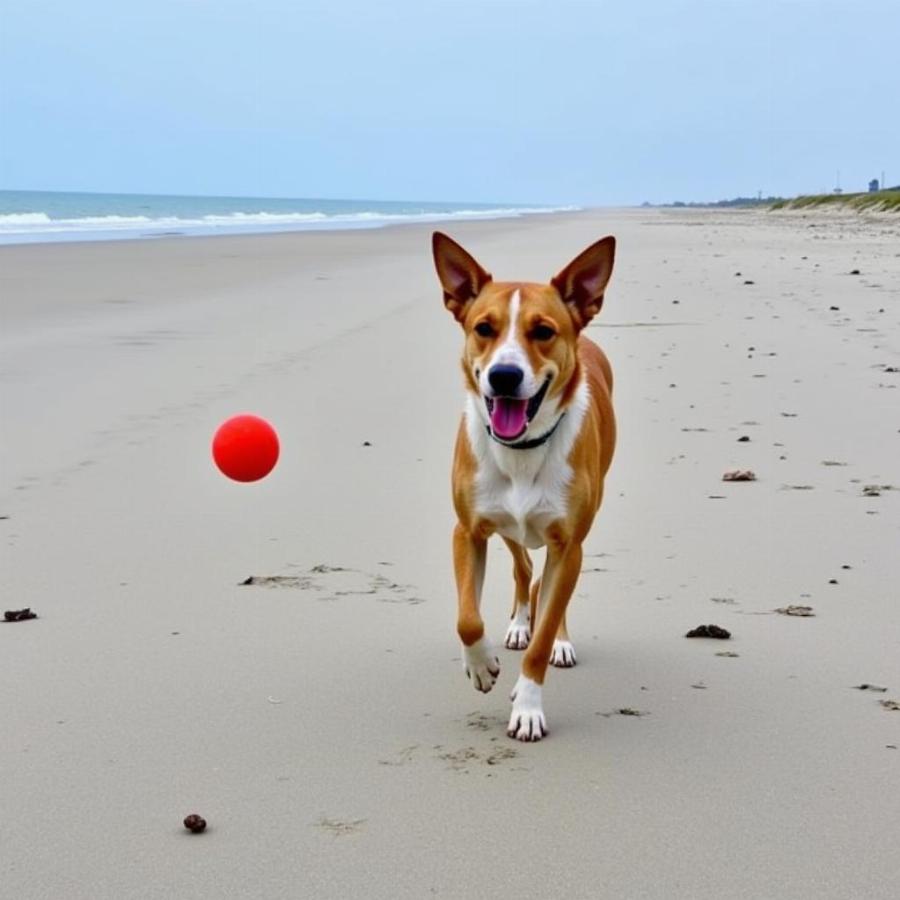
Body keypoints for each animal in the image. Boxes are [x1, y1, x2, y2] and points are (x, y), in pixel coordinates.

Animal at [432, 230, 616, 740]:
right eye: (483, 328)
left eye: (543, 331)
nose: (504, 375)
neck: (523, 449)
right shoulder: (466, 532)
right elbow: (467, 618)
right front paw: (481, 665)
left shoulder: (568, 544)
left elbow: (547, 624)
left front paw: (529, 706)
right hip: (508, 526)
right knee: (523, 569)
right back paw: (517, 624)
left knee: (548, 588)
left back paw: (560, 643)